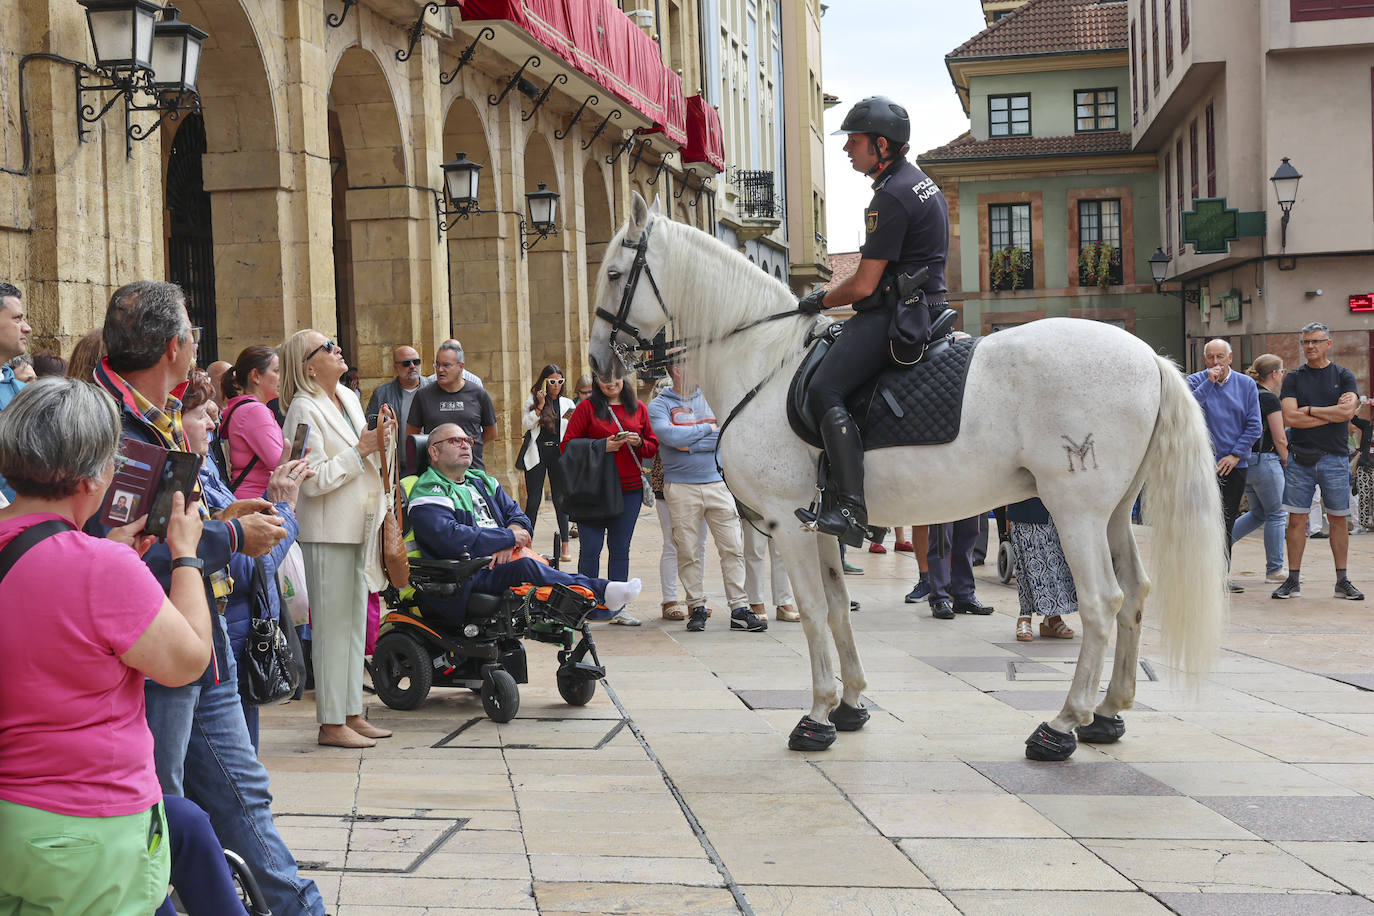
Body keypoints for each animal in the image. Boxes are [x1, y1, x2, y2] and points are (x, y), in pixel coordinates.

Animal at [588, 195, 1225, 758]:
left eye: (616, 273)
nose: (597, 363)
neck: (764, 361)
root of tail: (1150, 359)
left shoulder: (789, 524)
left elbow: (813, 611)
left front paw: (815, 717)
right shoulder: (821, 522)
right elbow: (837, 605)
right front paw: (850, 705)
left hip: (1077, 511)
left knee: (1100, 602)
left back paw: (1062, 725)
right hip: (1113, 513)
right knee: (1135, 592)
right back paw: (1108, 714)